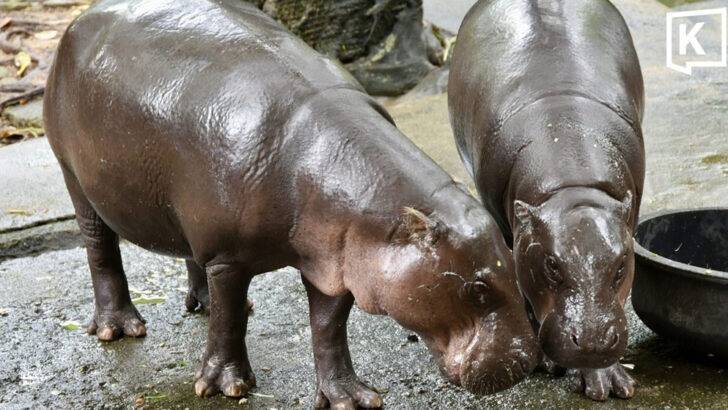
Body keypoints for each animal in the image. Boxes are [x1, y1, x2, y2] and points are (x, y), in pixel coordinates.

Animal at [44, 0, 540, 405]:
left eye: (514, 264)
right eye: (476, 289)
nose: (527, 362)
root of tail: (80, 19)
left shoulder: (334, 262)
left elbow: (328, 329)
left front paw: (350, 398)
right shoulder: (229, 257)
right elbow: (229, 323)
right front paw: (225, 386)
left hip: (183, 215)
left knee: (190, 257)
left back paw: (203, 304)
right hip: (73, 175)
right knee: (101, 250)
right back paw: (119, 328)